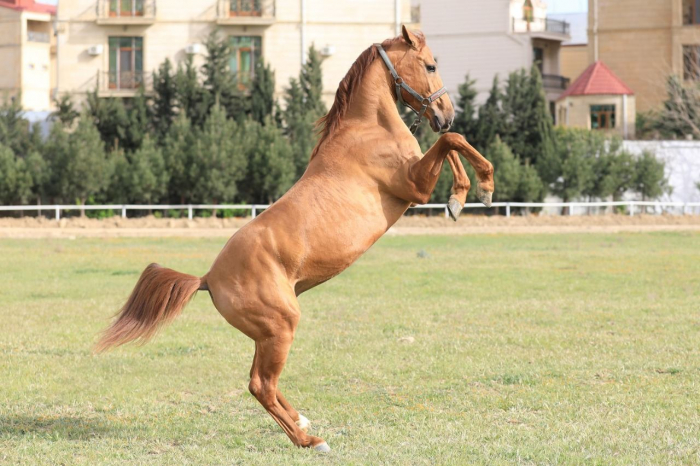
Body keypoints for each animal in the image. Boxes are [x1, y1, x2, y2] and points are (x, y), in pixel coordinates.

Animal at [95, 28, 494, 452]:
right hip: (281, 327)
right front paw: (481, 188)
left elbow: (451, 146)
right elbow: (453, 142)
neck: (369, 130)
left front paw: (460, 199)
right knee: (261, 385)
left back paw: (302, 421)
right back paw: (310, 439)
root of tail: (207, 278)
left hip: (266, 334)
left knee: (260, 382)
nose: (446, 113)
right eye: (430, 65)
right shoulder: (414, 187)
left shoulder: (417, 179)